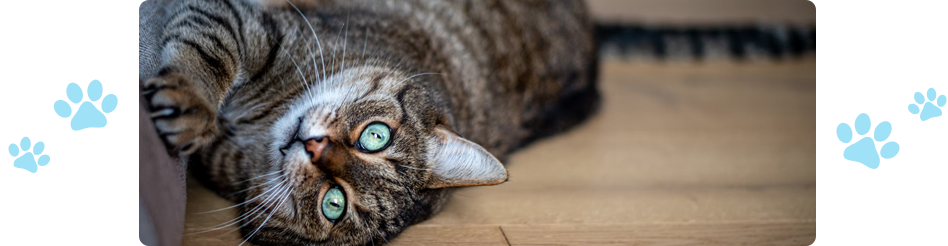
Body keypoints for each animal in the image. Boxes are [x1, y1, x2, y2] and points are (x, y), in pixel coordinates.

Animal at [140, 0, 596, 245]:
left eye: (333, 203)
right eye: (376, 137)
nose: (313, 146)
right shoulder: (255, 27)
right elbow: (210, 52)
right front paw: (191, 99)